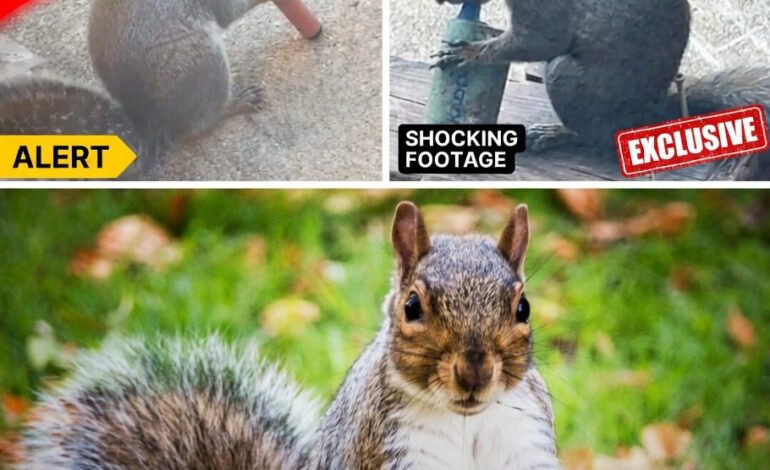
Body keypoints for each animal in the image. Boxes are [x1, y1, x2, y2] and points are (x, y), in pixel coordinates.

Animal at [433, 0, 770, 171]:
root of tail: (649, 115)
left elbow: (540, 41)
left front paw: (467, 54)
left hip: (567, 79)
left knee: (593, 138)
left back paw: (554, 134)